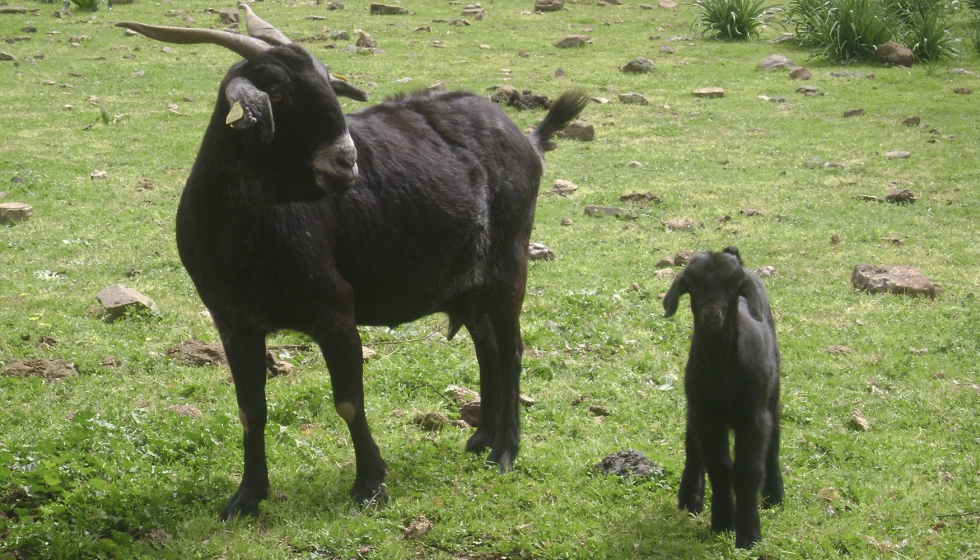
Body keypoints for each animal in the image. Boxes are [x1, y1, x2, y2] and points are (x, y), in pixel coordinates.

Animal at [117, 5, 588, 520]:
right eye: (277, 91)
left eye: (328, 82)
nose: (346, 163)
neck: (241, 233)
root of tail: (528, 139)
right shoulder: (233, 322)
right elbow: (250, 409)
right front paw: (247, 495)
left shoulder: (334, 312)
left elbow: (347, 402)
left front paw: (370, 483)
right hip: (469, 283)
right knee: (487, 347)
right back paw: (482, 436)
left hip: (508, 263)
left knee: (512, 349)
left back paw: (505, 451)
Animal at [664, 247, 784, 548]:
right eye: (693, 286)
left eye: (733, 287)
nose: (711, 315)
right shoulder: (705, 415)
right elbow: (719, 468)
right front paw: (722, 523)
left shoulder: (753, 417)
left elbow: (747, 471)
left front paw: (749, 533)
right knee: (692, 445)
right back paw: (690, 497)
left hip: (771, 392)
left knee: (774, 438)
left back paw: (774, 494)